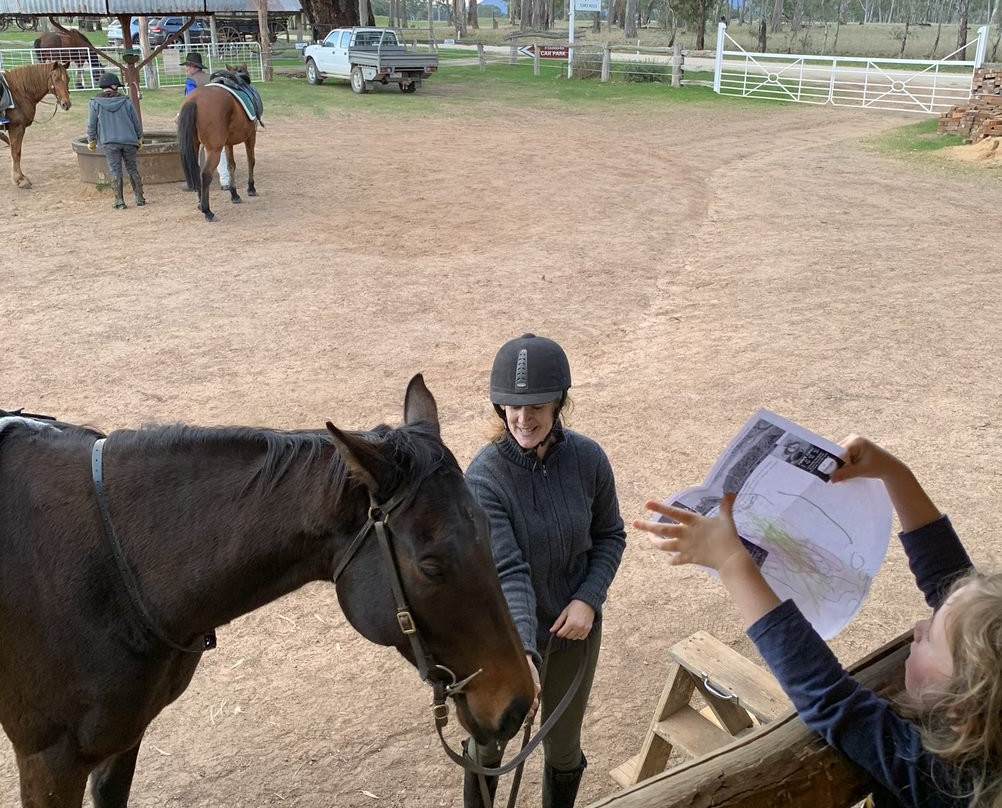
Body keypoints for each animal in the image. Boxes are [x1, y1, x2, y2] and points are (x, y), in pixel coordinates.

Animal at [0, 60, 71, 189]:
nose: (66, 104)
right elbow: (16, 153)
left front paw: (21, 177)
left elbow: (16, 152)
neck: (19, 92)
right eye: (55, 78)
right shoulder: (16, 128)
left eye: (67, 78)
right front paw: (20, 180)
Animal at [0, 378, 537, 808]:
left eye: (488, 526)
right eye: (430, 566)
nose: (516, 703)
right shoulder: (50, 764)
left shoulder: (124, 740)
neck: (113, 562)